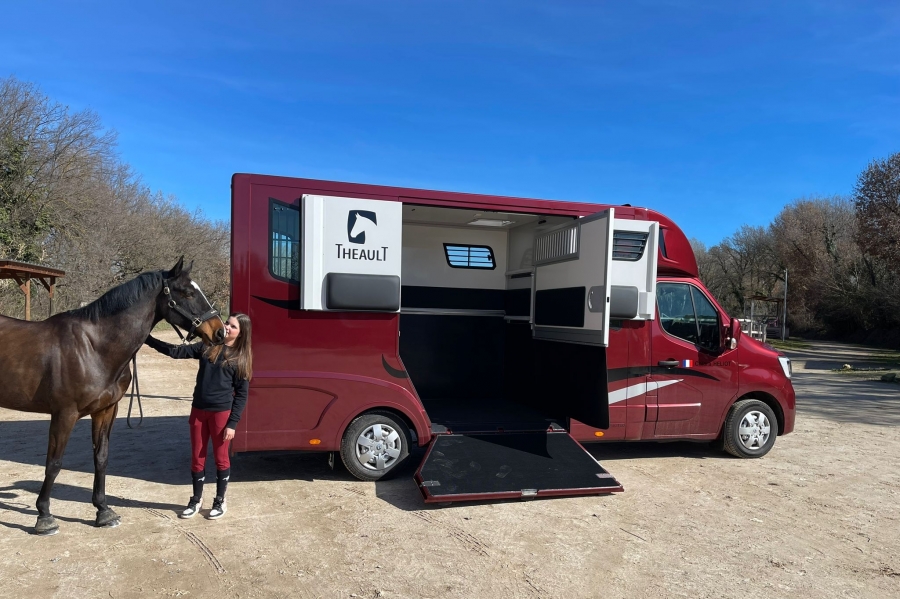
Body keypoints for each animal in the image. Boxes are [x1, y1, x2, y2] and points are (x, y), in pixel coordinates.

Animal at [0, 257, 225, 535]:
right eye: (186, 292)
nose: (220, 332)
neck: (93, 347)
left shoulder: (106, 411)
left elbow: (101, 458)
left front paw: (103, 511)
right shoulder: (64, 414)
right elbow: (54, 463)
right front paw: (44, 517)